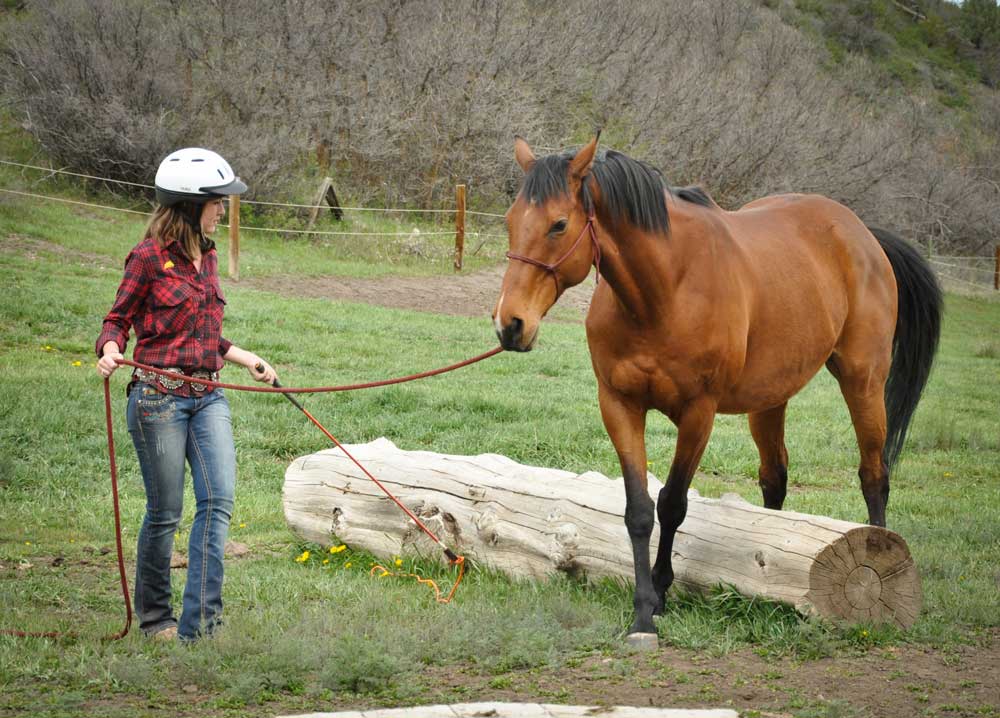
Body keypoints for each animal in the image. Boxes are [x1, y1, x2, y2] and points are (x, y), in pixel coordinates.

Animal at [496, 136, 940, 640]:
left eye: (559, 224)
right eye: (511, 221)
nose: (510, 325)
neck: (666, 291)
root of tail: (862, 233)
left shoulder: (698, 413)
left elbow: (672, 504)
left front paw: (659, 593)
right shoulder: (619, 405)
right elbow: (638, 510)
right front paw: (643, 609)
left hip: (863, 381)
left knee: (873, 475)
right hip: (770, 400)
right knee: (775, 479)